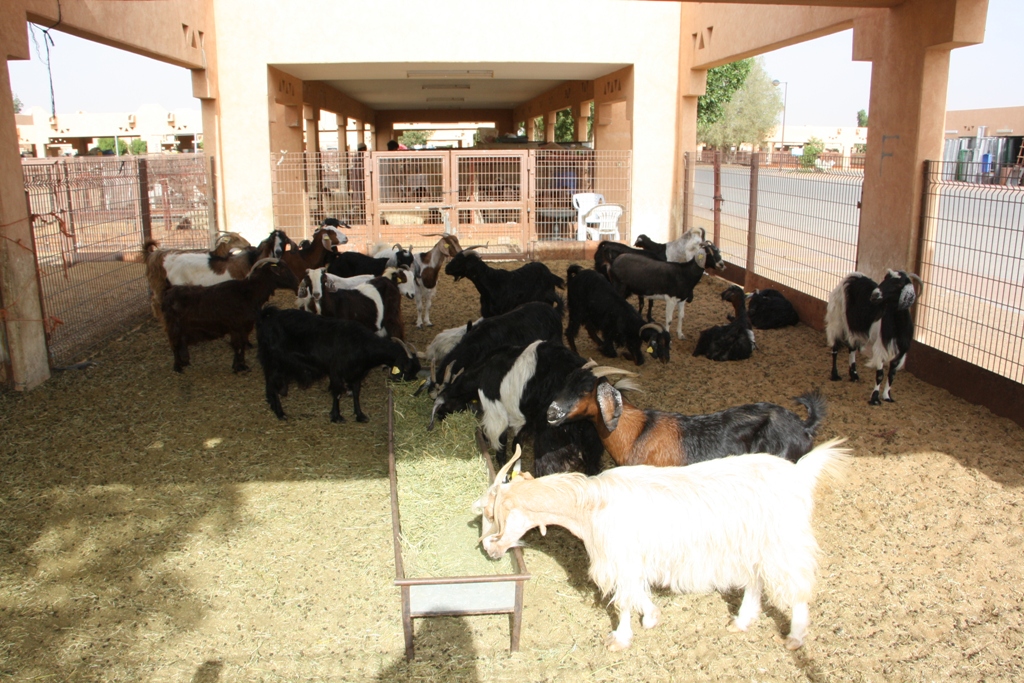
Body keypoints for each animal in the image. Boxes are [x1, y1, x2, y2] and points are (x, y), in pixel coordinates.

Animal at [258, 305, 421, 421]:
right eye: (407, 368)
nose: (413, 381)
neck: (362, 344)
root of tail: (268, 317)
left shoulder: (356, 373)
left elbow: (356, 392)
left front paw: (360, 415)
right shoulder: (336, 371)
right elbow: (336, 393)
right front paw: (336, 416)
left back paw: (273, 405)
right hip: (275, 363)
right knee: (271, 385)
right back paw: (280, 413)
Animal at [428, 339, 602, 475]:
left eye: (446, 405)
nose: (440, 417)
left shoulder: (496, 414)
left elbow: (501, 446)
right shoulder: (522, 420)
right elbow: (516, 446)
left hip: (550, 439)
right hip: (591, 439)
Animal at [471, 438, 847, 651]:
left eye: (492, 513)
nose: (488, 550)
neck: (590, 505)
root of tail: (799, 473)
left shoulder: (619, 559)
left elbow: (623, 601)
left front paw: (620, 639)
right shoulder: (631, 561)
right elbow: (637, 592)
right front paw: (651, 617)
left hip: (783, 542)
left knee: (797, 587)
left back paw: (796, 637)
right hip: (752, 544)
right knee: (755, 580)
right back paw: (741, 621)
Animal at [823, 268, 921, 405]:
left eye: (899, 284)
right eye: (885, 278)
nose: (874, 295)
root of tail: (852, 276)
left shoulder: (901, 351)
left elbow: (892, 374)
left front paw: (887, 396)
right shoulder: (880, 348)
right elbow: (880, 374)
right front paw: (874, 398)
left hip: (854, 326)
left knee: (852, 347)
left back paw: (854, 375)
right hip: (837, 319)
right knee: (835, 346)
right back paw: (835, 375)